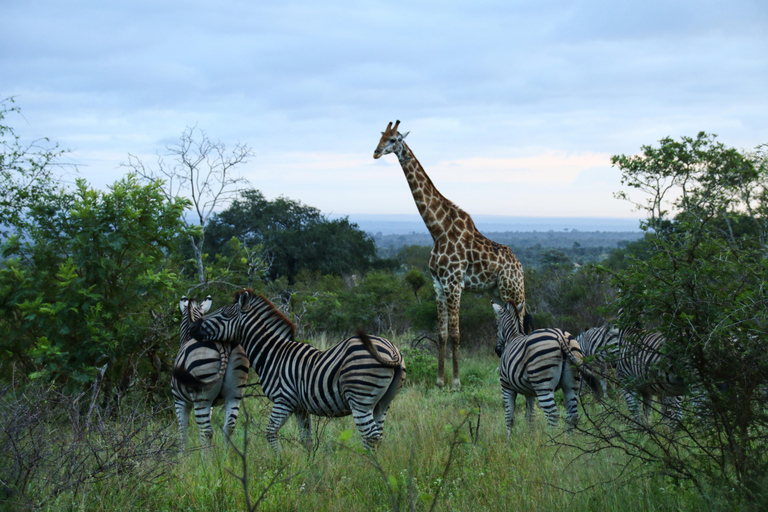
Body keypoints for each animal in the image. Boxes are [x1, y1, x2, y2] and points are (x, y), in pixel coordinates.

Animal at [171, 296, 249, 448]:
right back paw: (226, 454)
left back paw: (207, 455)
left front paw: (183, 454)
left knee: (206, 432)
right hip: (235, 393)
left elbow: (182, 433)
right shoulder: (212, 405)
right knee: (229, 428)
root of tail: (222, 344)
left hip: (202, 395)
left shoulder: (179, 400)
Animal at [188, 288, 404, 452]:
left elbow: (270, 432)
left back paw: (368, 469)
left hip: (360, 399)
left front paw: (279, 463)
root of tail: (392, 350)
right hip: (383, 402)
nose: (193, 328)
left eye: (224, 314)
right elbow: (306, 440)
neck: (273, 354)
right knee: (378, 435)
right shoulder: (301, 407)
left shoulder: (283, 400)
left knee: (371, 436)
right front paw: (309, 469)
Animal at [374, 120, 528, 390]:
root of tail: (519, 266)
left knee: (522, 327)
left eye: (394, 139)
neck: (437, 230)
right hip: (496, 292)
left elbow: (456, 334)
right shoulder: (438, 284)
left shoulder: (454, 283)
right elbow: (442, 333)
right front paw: (439, 381)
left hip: (513, 291)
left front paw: (455, 382)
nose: (376, 152)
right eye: (381, 136)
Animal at [492, 302, 592, 434]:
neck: (512, 337)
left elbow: (509, 416)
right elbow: (530, 416)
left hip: (543, 384)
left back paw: (552, 439)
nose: (497, 351)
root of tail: (560, 336)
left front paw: (509, 438)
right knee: (572, 415)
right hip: (571, 383)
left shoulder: (506, 385)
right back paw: (567, 439)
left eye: (497, 325)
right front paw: (531, 436)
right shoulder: (529, 391)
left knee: (552, 414)